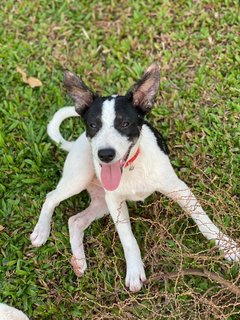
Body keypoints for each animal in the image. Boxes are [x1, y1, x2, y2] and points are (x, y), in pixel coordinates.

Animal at [30, 63, 240, 292]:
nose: (105, 155)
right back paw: (41, 231)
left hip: (101, 203)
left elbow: (203, 219)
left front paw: (226, 246)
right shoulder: (115, 201)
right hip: (81, 178)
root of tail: (74, 143)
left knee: (75, 221)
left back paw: (78, 261)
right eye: (93, 125)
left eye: (125, 123)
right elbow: (127, 237)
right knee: (51, 197)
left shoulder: (178, 188)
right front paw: (134, 270)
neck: (132, 167)